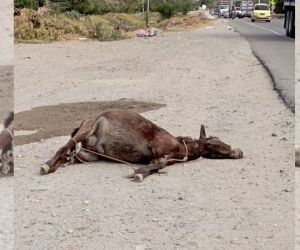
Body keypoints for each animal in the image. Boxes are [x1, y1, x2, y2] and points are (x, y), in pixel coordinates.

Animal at [39, 109, 243, 182]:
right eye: (216, 144)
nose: (239, 152)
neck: (181, 147)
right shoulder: (156, 147)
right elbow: (159, 163)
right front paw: (136, 173)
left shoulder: (157, 158)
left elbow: (157, 165)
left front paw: (139, 173)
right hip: (87, 129)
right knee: (64, 147)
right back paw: (47, 166)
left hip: (89, 155)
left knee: (72, 155)